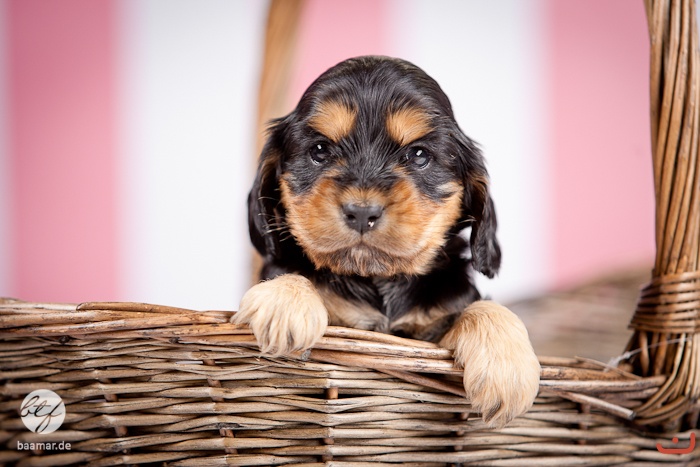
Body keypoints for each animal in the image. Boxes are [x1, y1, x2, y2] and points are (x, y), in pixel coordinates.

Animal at [233, 56, 540, 427]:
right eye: (319, 150)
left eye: (419, 155)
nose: (362, 212)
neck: (376, 279)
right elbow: (290, 274)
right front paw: (283, 304)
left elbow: (483, 307)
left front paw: (507, 370)